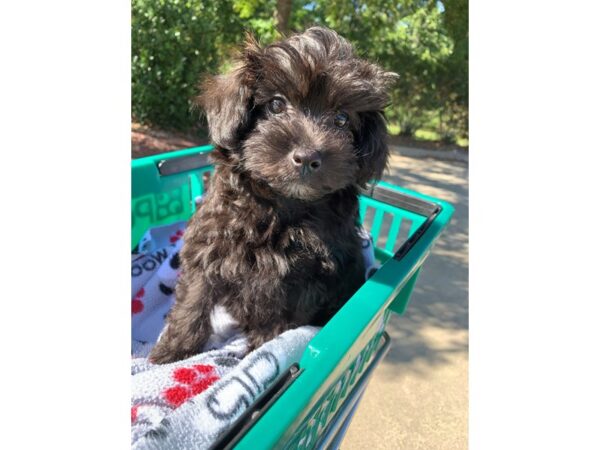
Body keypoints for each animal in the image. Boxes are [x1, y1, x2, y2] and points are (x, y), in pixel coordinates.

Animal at [150, 26, 396, 364]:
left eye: (342, 119)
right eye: (276, 105)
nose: (307, 157)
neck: (281, 204)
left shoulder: (304, 282)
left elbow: (277, 324)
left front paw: (260, 353)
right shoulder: (207, 246)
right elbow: (193, 301)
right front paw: (171, 353)